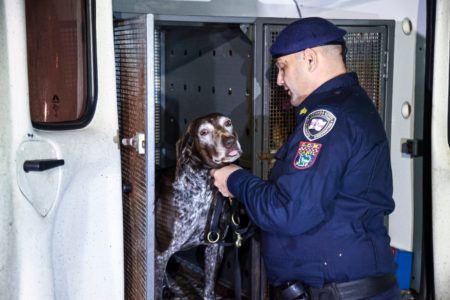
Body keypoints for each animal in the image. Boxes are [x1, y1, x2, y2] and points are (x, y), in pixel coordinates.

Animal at [156, 112, 244, 300]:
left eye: (228, 123)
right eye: (203, 132)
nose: (230, 141)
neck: (202, 190)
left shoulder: (214, 247)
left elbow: (209, 288)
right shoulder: (160, 254)